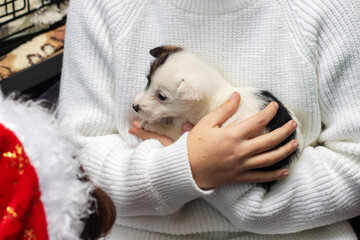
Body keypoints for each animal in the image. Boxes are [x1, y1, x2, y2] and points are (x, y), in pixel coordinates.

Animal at [134, 46, 302, 190]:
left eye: (161, 96)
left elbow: (169, 129)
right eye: (148, 81)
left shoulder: (186, 129)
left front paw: (152, 125)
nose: (134, 106)